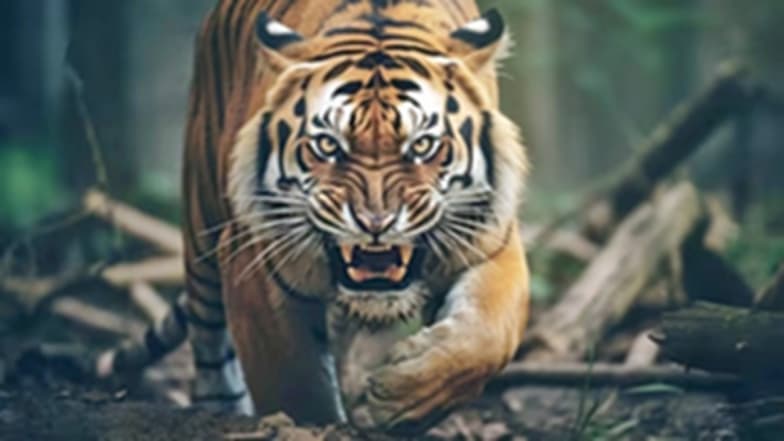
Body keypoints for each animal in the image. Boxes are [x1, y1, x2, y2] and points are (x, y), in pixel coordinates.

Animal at [97, 0, 530, 434]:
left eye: (422, 145)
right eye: (327, 145)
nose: (375, 222)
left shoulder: (492, 238)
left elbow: (487, 336)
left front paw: (398, 399)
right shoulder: (253, 263)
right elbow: (295, 383)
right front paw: (317, 426)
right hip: (201, 225)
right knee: (210, 349)